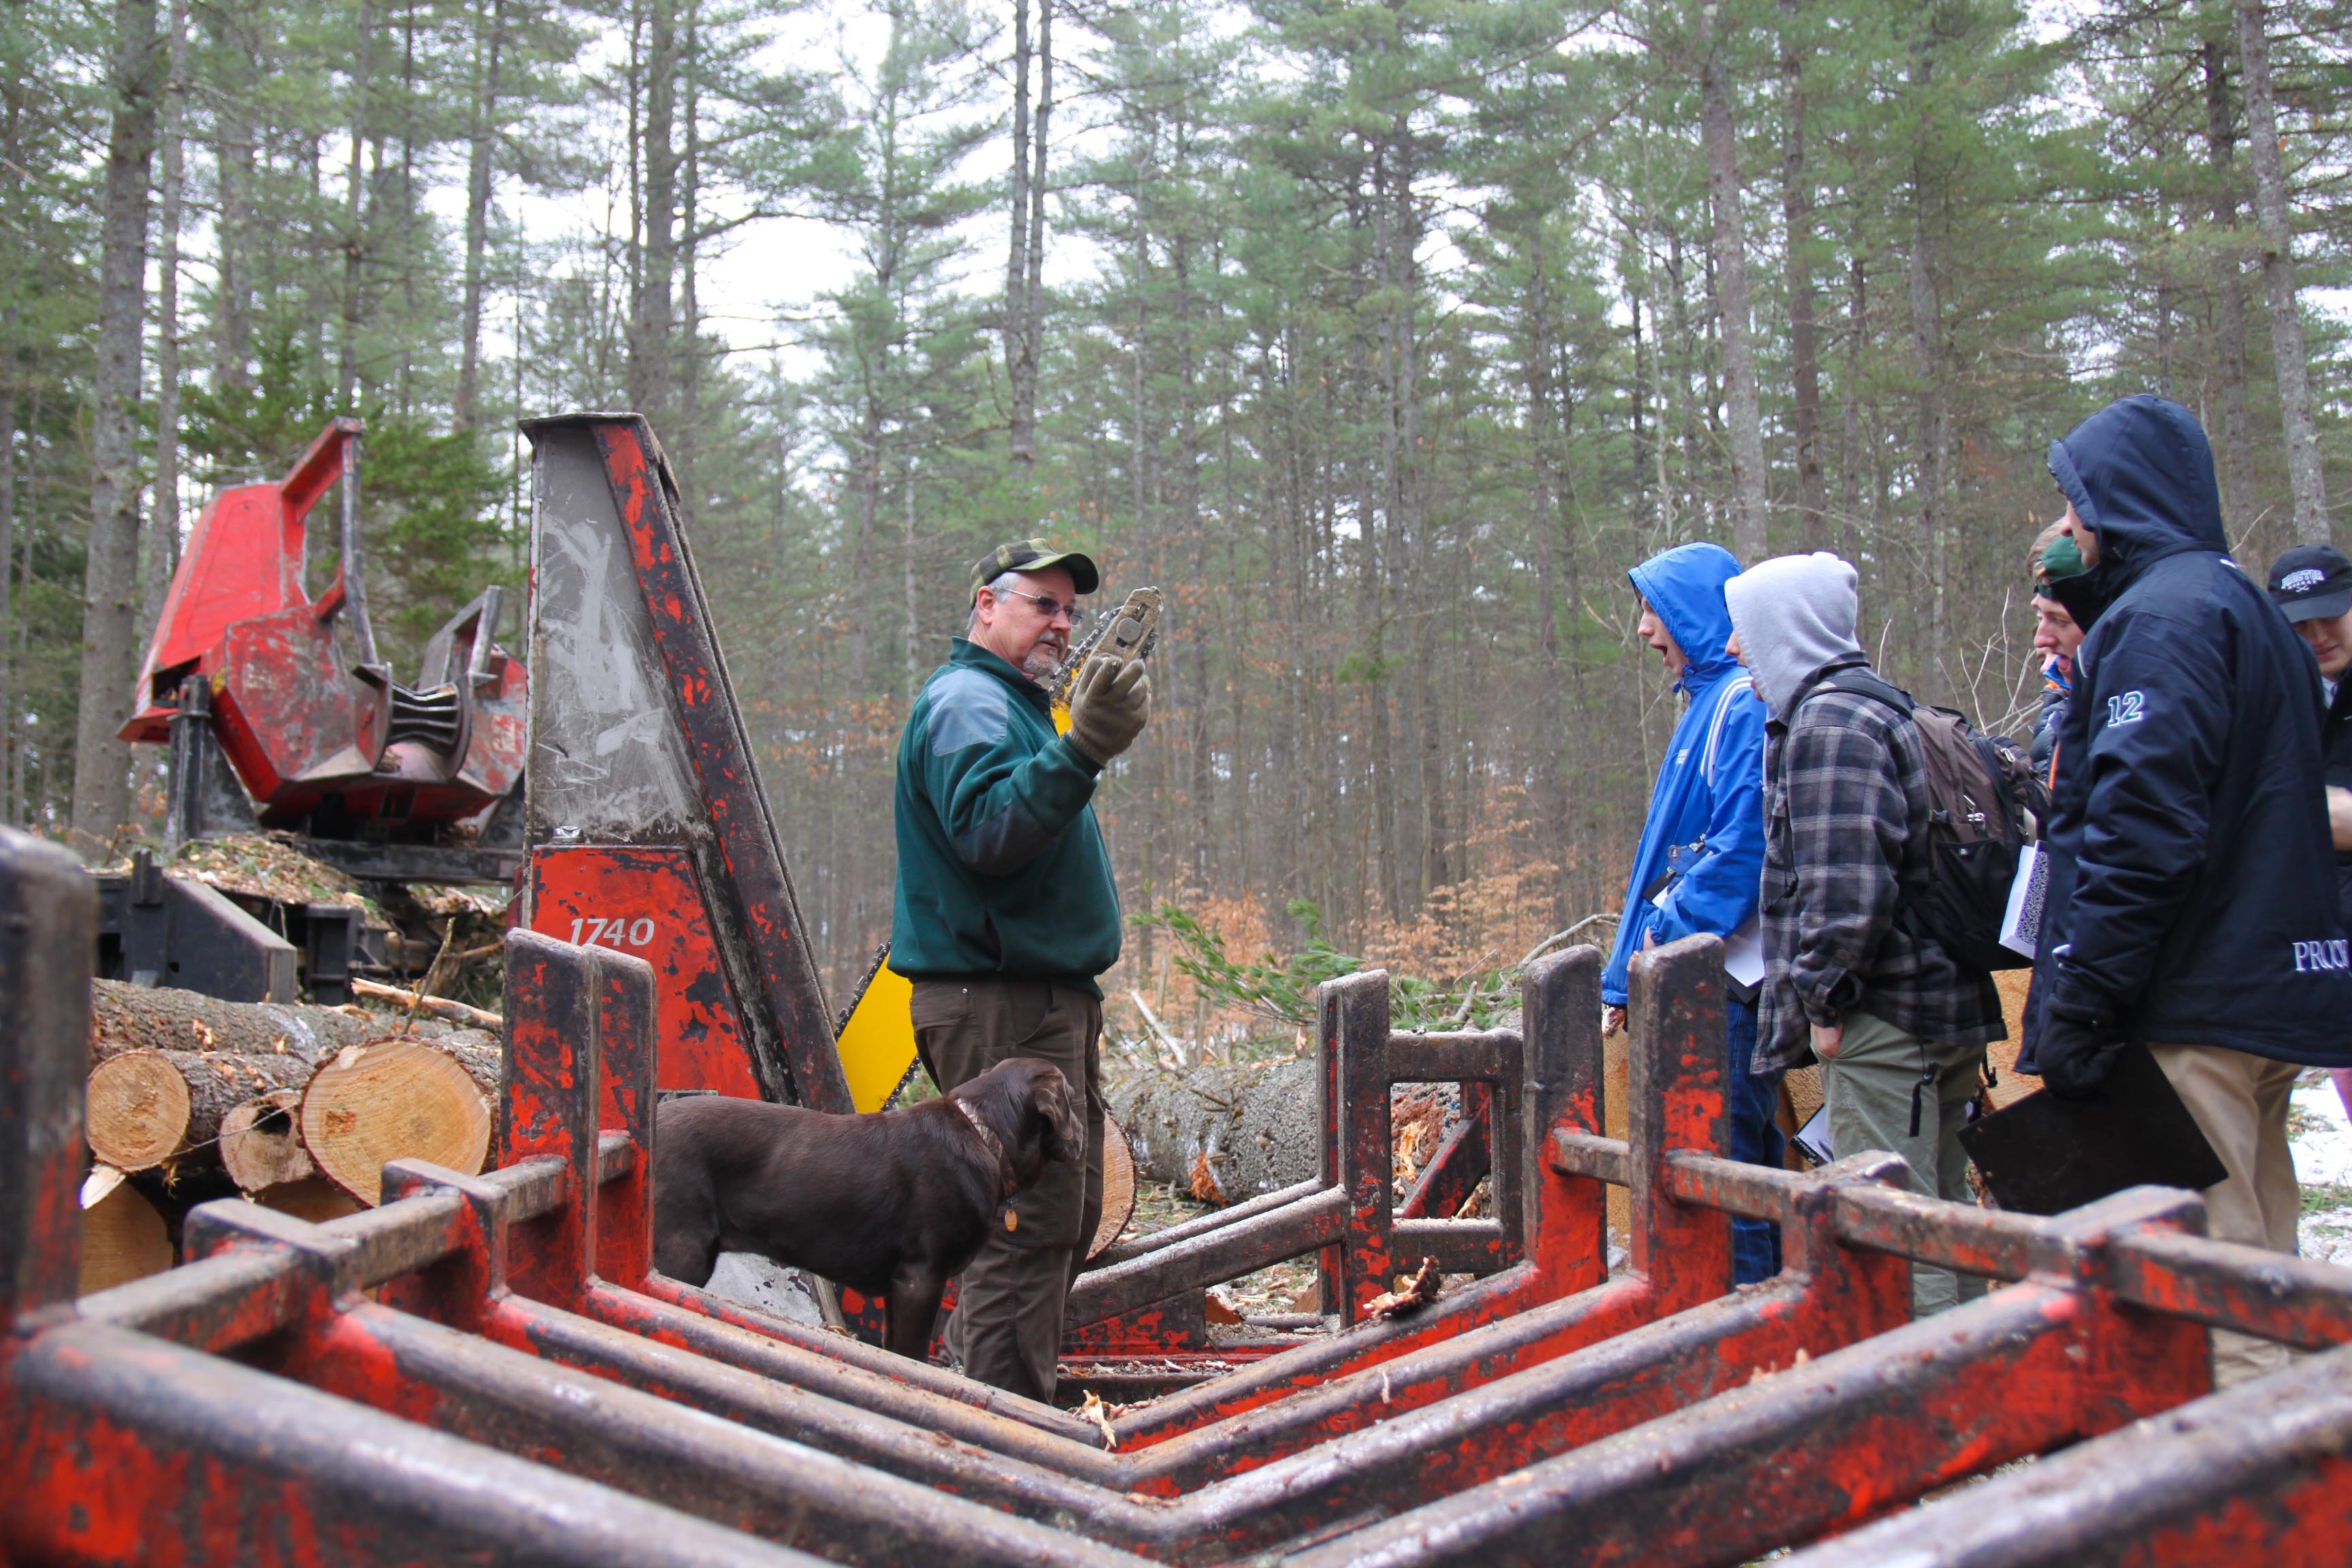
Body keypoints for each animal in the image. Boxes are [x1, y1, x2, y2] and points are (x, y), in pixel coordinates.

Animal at [649, 1053, 1077, 1363]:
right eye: (1073, 1098)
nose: (1083, 1131)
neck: (984, 1136)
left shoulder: (897, 1289)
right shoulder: (921, 1279)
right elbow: (911, 1353)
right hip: (682, 1250)